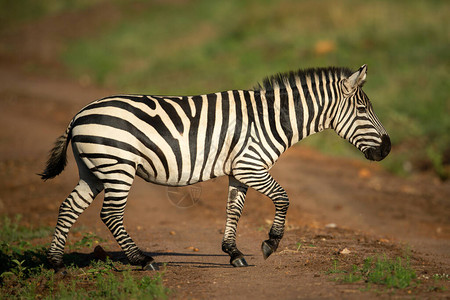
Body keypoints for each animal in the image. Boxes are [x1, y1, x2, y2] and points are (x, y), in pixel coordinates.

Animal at [39, 64, 390, 270]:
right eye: (363, 110)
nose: (387, 149)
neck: (272, 119)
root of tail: (79, 114)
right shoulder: (252, 166)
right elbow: (283, 198)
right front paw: (270, 244)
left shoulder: (239, 170)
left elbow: (234, 210)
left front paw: (234, 253)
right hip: (117, 167)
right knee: (110, 214)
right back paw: (143, 260)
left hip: (93, 170)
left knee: (69, 207)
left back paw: (55, 262)